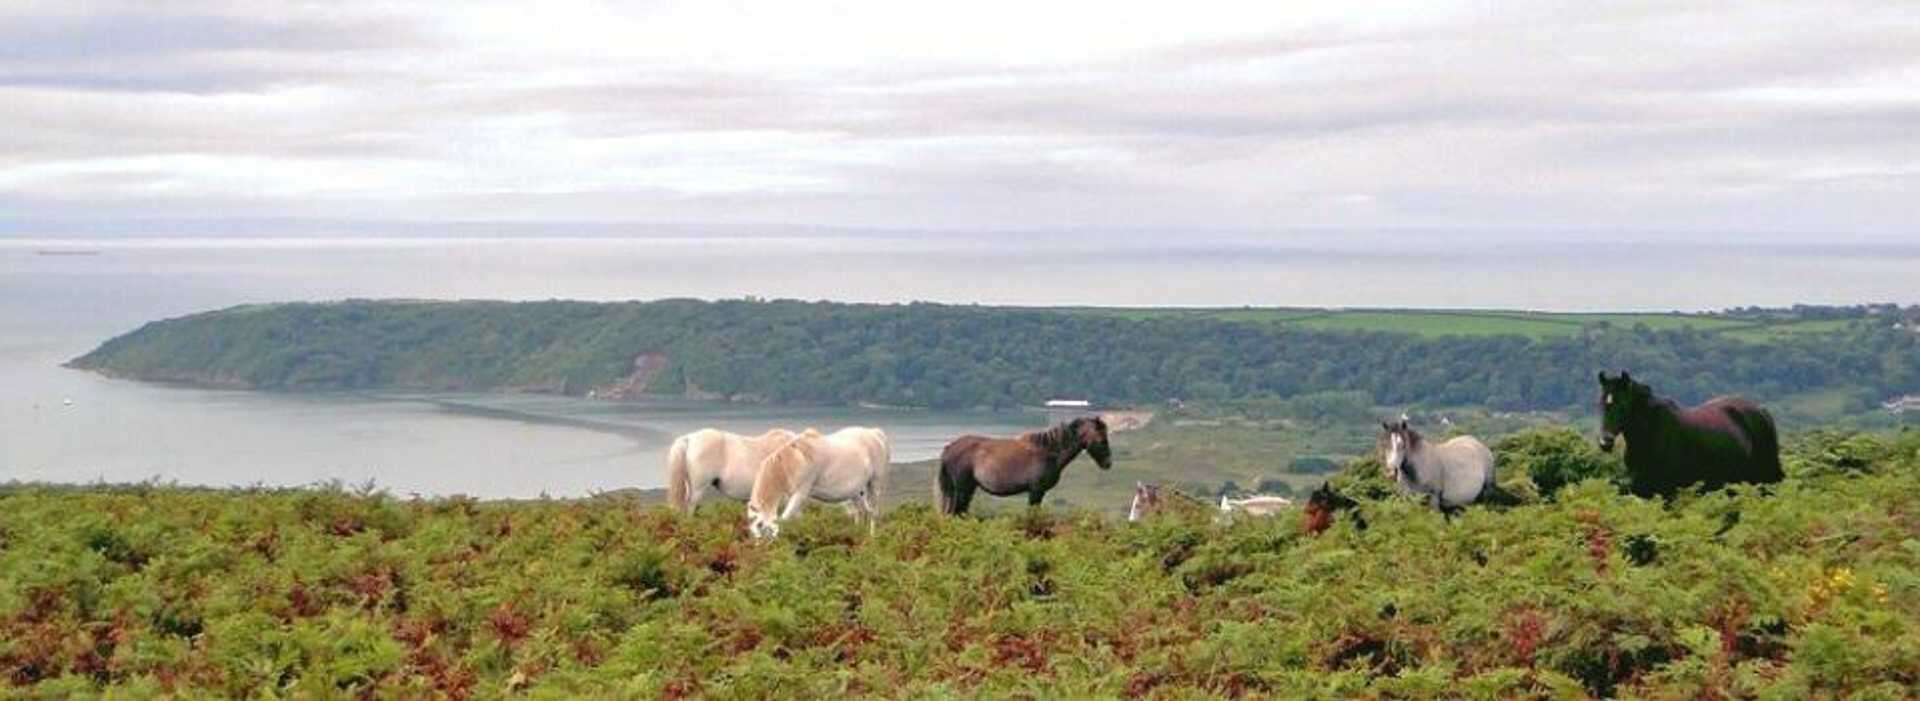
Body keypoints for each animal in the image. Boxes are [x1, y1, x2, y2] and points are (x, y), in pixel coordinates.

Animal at [746, 427, 892, 539]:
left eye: (759, 526)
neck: (793, 461)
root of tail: (875, 433)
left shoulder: (801, 493)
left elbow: (785, 519)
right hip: (856, 493)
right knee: (860, 511)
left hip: (875, 485)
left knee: (874, 512)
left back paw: (872, 537)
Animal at [937, 416, 1111, 515]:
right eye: (1102, 439)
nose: (1108, 463)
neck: (1048, 451)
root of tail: (949, 448)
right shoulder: (1036, 491)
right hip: (962, 490)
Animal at [1597, 371, 1783, 498]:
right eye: (1601, 404)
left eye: (1623, 405)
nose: (1605, 442)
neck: (1652, 434)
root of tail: (1761, 410)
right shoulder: (1641, 489)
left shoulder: (1667, 492)